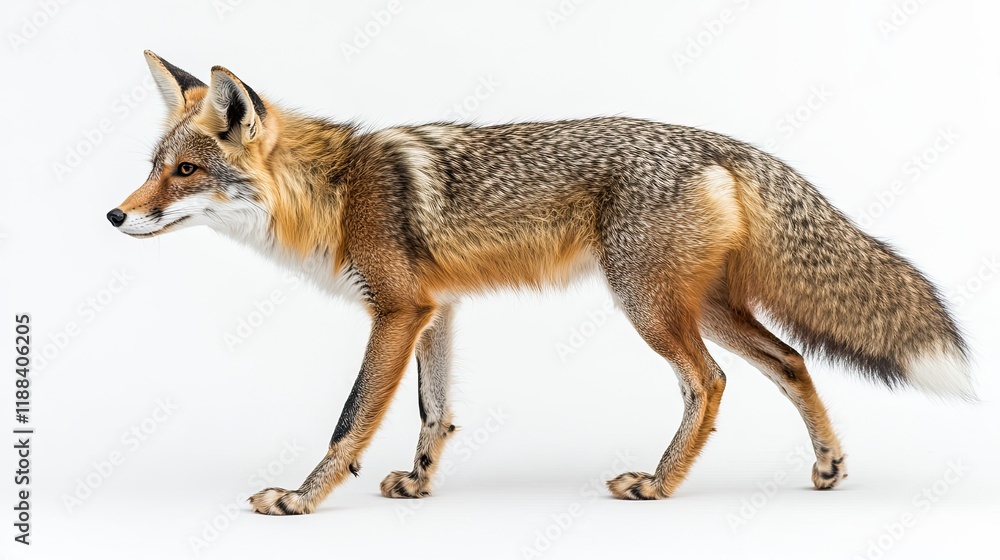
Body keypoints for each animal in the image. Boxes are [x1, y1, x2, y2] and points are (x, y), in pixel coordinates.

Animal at [109, 51, 973, 515]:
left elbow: (349, 421)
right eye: (154, 166)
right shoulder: (435, 310)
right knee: (792, 361)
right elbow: (434, 413)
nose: (115, 216)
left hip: (650, 308)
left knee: (711, 382)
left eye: (185, 173)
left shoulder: (395, 309)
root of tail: (722, 143)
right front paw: (419, 484)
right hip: (705, 305)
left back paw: (659, 484)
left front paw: (300, 499)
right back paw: (826, 468)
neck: (337, 190)